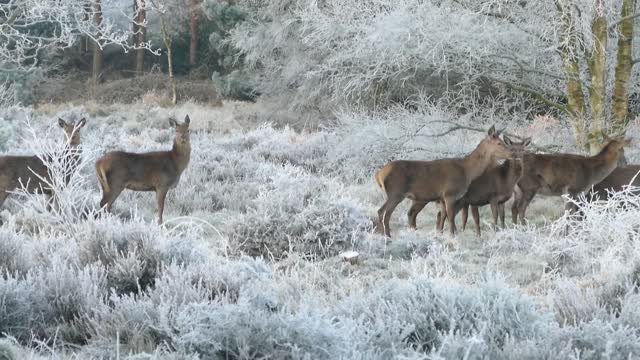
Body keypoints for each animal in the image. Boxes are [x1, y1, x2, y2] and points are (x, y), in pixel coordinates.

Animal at [372, 125, 512, 238]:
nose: (511, 153)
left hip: (390, 194)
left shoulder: (442, 197)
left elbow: (444, 216)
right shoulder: (449, 194)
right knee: (383, 212)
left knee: (387, 213)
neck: (466, 171)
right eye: (499, 143)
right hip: (395, 192)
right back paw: (387, 235)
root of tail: (378, 174)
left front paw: (443, 233)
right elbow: (450, 217)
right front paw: (452, 235)